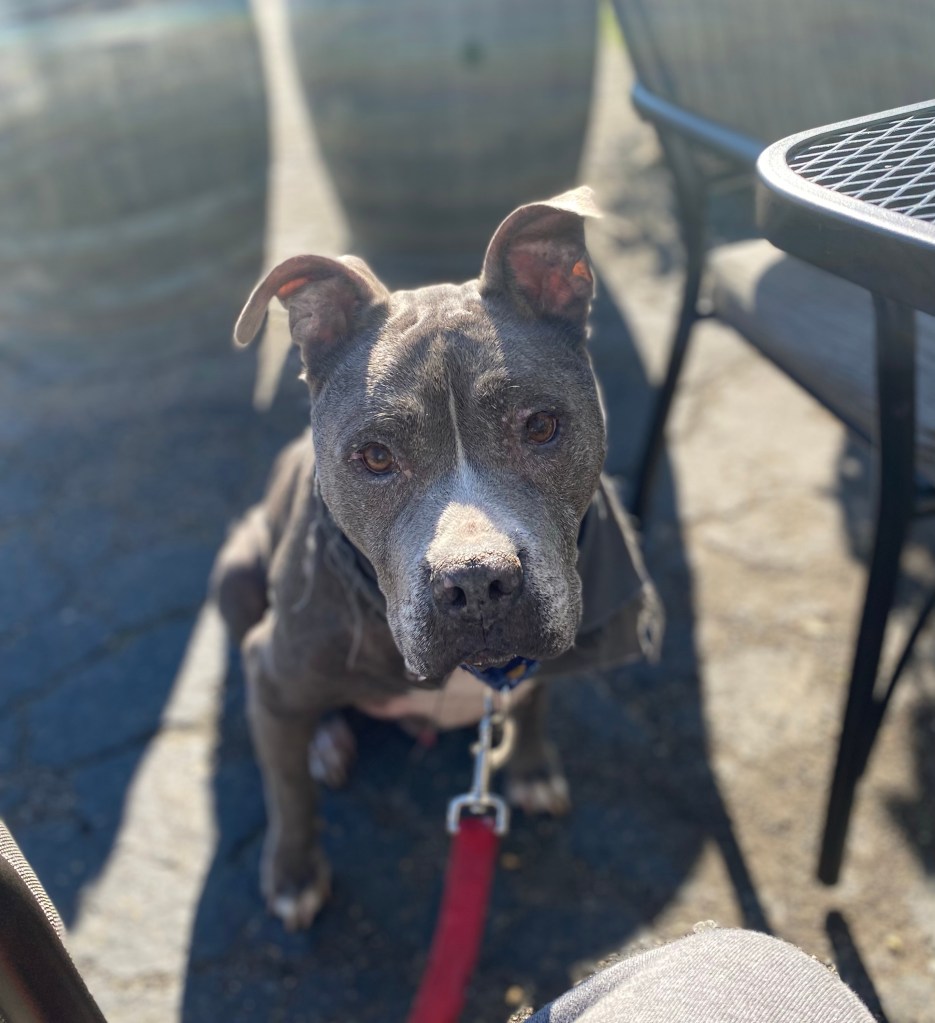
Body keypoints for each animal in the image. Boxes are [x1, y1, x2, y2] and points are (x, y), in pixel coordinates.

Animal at [211, 187, 661, 930]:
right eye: (374, 456)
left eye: (541, 425)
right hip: (236, 569)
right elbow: (288, 793)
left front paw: (531, 766)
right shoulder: (269, 672)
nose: (477, 583)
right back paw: (325, 740)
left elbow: (536, 699)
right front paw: (294, 873)